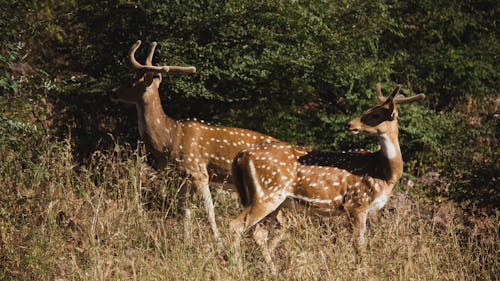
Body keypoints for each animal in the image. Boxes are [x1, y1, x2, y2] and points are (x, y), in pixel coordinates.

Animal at [110, 40, 280, 242]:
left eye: (132, 81)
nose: (113, 91)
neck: (170, 138)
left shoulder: (198, 171)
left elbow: (209, 211)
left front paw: (218, 242)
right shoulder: (183, 176)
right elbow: (186, 211)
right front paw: (186, 240)